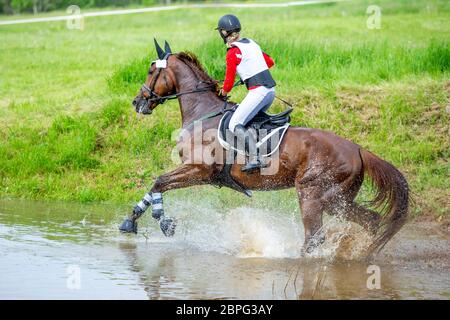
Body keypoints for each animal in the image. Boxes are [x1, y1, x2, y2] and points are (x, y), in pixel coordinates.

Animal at [119, 40, 408, 256]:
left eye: (151, 71)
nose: (136, 102)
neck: (203, 113)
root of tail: (358, 149)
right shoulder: (199, 173)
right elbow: (156, 186)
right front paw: (130, 221)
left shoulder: (199, 170)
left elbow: (159, 181)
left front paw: (164, 222)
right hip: (339, 199)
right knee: (370, 221)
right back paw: (363, 255)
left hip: (313, 194)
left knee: (315, 237)